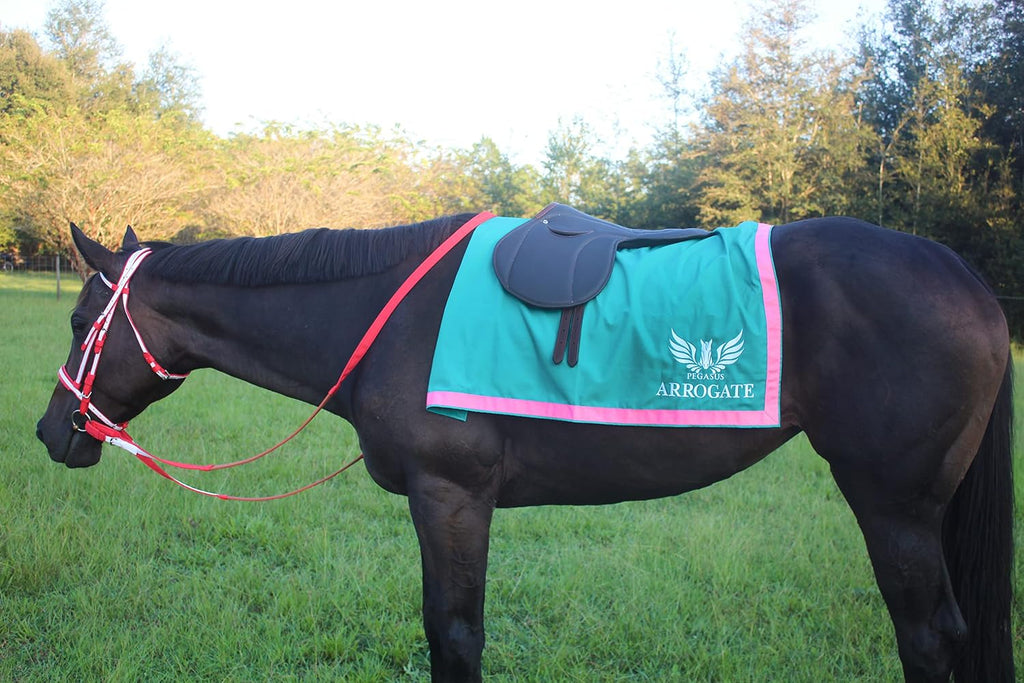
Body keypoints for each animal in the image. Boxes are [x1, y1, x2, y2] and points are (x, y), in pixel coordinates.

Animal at [36, 213, 1014, 682]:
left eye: (84, 321)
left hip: (893, 508)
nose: (51, 431)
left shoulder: (451, 498)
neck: (382, 314)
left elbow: (454, 635)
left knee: (928, 638)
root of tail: (964, 275)